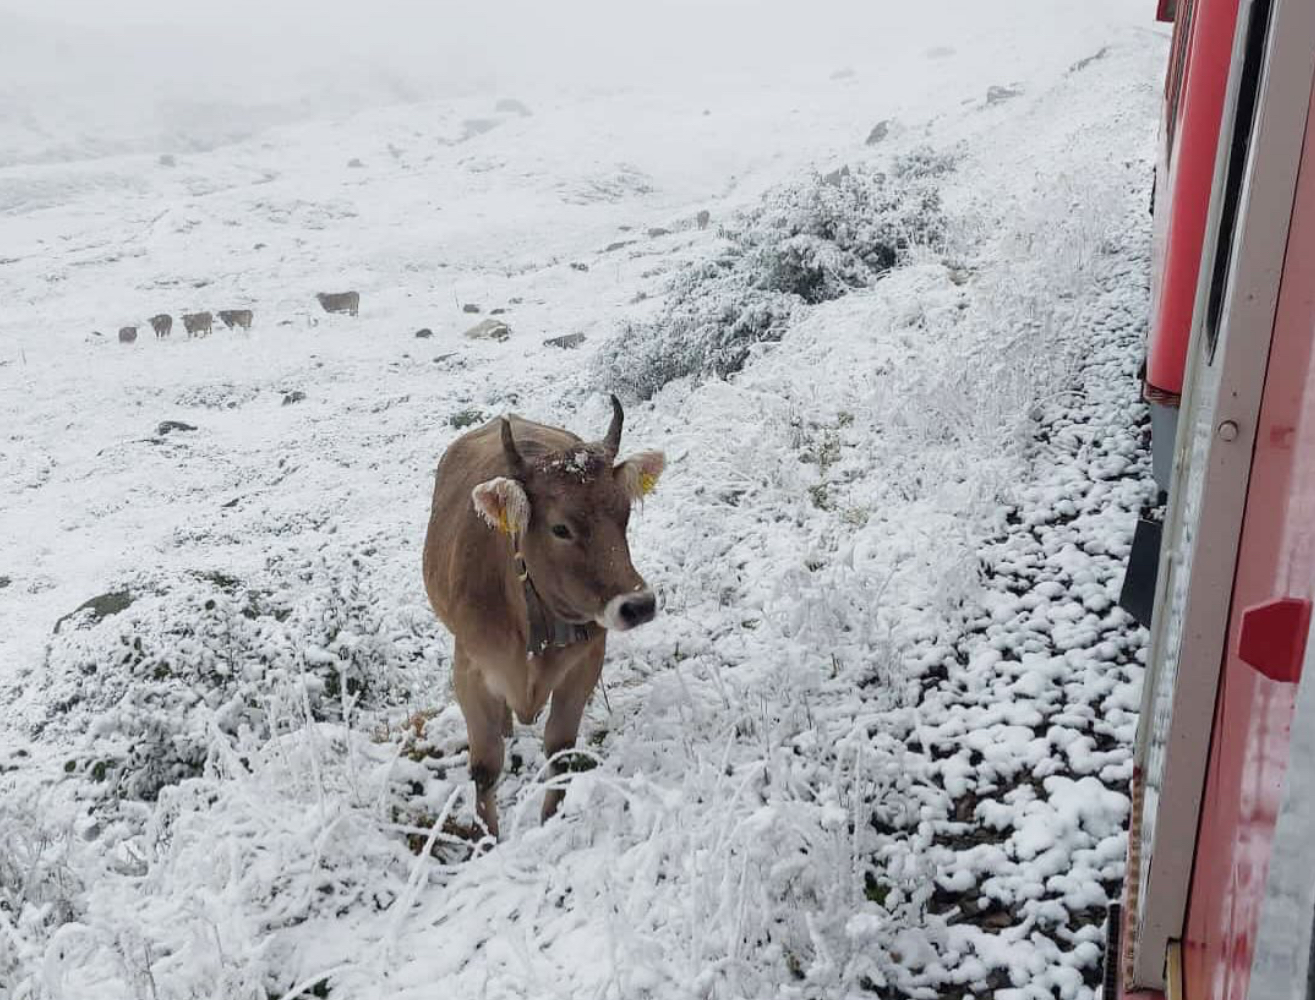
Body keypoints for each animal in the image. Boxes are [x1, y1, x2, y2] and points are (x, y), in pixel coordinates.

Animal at [423, 397, 662, 836]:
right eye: (560, 528)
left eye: (625, 514)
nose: (638, 605)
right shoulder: (470, 669)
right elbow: (485, 767)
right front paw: (488, 839)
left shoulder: (585, 663)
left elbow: (560, 749)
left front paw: (550, 820)